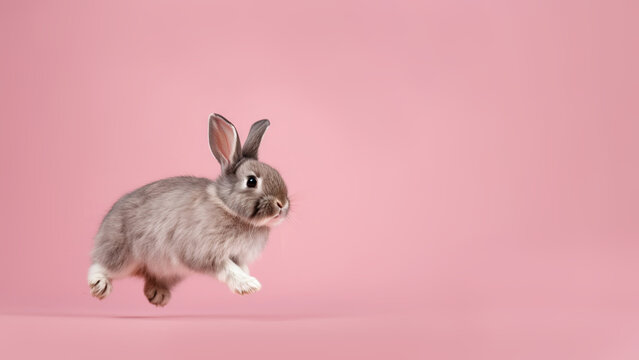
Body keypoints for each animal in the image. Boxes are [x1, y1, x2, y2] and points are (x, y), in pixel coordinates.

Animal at [87, 114, 290, 306]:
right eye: (251, 181)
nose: (282, 204)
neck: (227, 207)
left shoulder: (237, 256)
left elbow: (239, 267)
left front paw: (247, 281)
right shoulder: (203, 252)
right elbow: (228, 269)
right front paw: (249, 285)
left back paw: (158, 295)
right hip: (121, 253)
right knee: (101, 266)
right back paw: (99, 285)